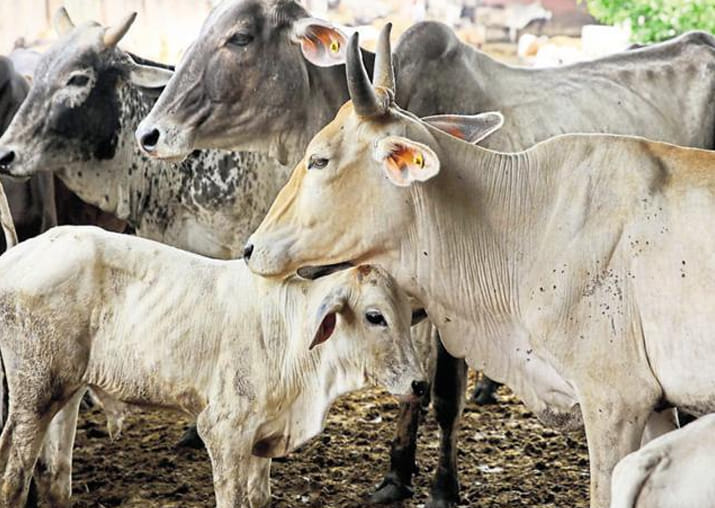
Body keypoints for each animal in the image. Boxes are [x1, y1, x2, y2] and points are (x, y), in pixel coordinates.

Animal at [0, 225, 428, 508]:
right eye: (375, 316)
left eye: (408, 316)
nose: (419, 384)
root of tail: (18, 255)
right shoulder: (223, 430)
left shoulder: (263, 438)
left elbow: (259, 498)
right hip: (34, 393)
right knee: (14, 477)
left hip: (66, 391)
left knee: (54, 478)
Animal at [137, 2, 715, 505]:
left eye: (320, 160)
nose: (252, 248)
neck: (525, 213)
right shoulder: (655, 408)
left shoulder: (616, 403)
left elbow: (444, 395)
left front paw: (439, 488)